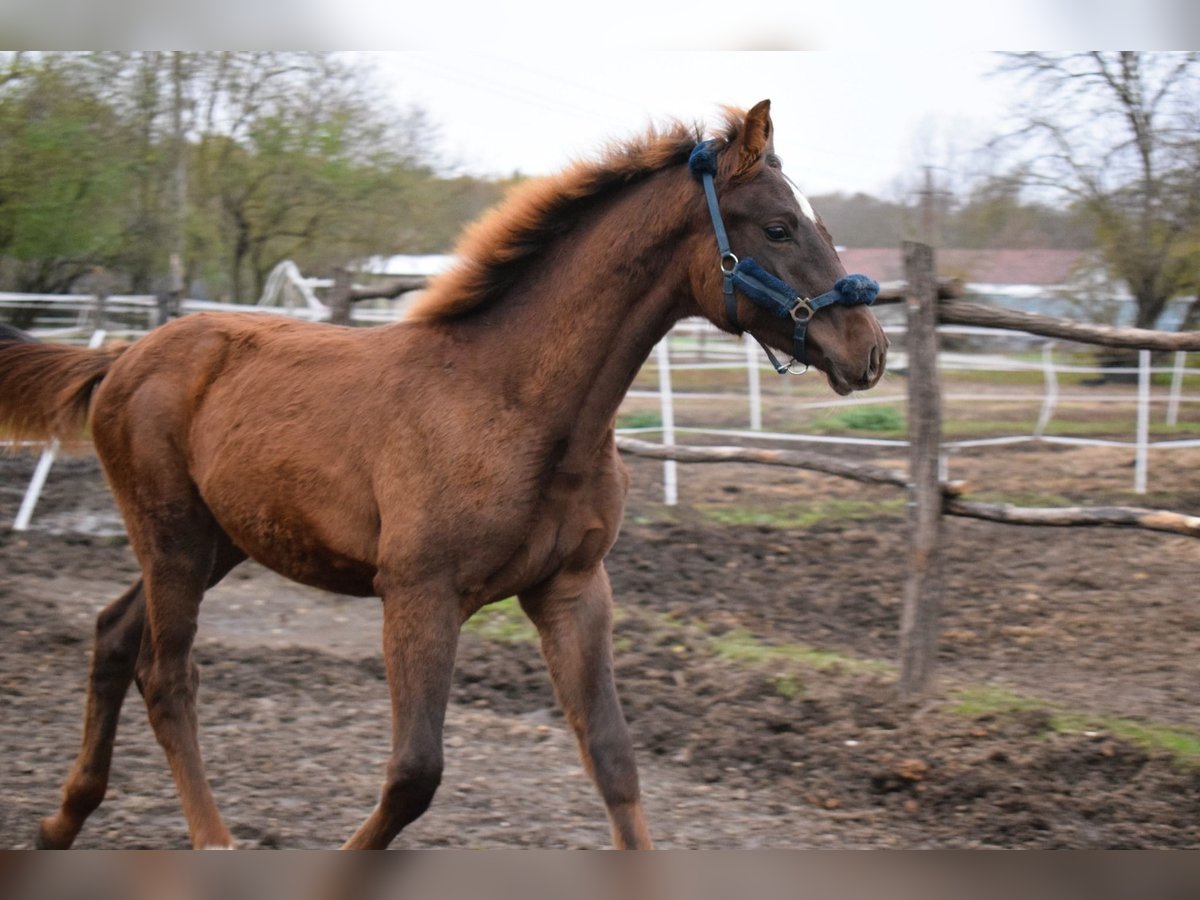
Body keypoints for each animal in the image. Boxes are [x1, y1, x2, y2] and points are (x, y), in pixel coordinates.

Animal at [0, 100, 887, 849]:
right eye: (778, 227)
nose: (869, 351)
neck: (515, 402)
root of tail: (123, 356)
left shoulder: (573, 589)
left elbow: (613, 759)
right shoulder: (419, 593)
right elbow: (414, 777)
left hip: (222, 538)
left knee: (114, 634)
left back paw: (60, 823)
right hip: (175, 536)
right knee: (166, 673)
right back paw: (209, 841)